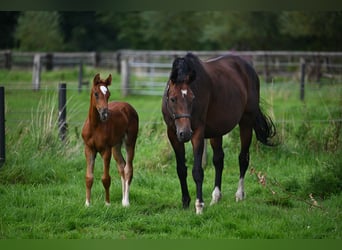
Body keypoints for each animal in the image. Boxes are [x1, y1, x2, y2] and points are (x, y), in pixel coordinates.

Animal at [82, 73, 139, 207]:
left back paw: (126, 202)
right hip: (116, 146)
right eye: (96, 94)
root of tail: (128, 106)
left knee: (128, 168)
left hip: (130, 142)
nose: (104, 114)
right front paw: (87, 204)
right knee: (122, 166)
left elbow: (106, 178)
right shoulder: (89, 149)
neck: (95, 126)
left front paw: (107, 203)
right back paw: (122, 200)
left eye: (108, 94)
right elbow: (89, 177)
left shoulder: (106, 150)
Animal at [162, 52, 276, 213]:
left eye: (192, 98)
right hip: (217, 130)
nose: (185, 133)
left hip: (246, 123)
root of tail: (248, 68)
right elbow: (181, 170)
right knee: (219, 160)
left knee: (243, 158)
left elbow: (197, 171)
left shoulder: (197, 133)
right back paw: (216, 197)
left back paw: (239, 194)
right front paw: (185, 202)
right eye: (172, 99)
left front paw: (199, 205)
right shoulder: (172, 134)